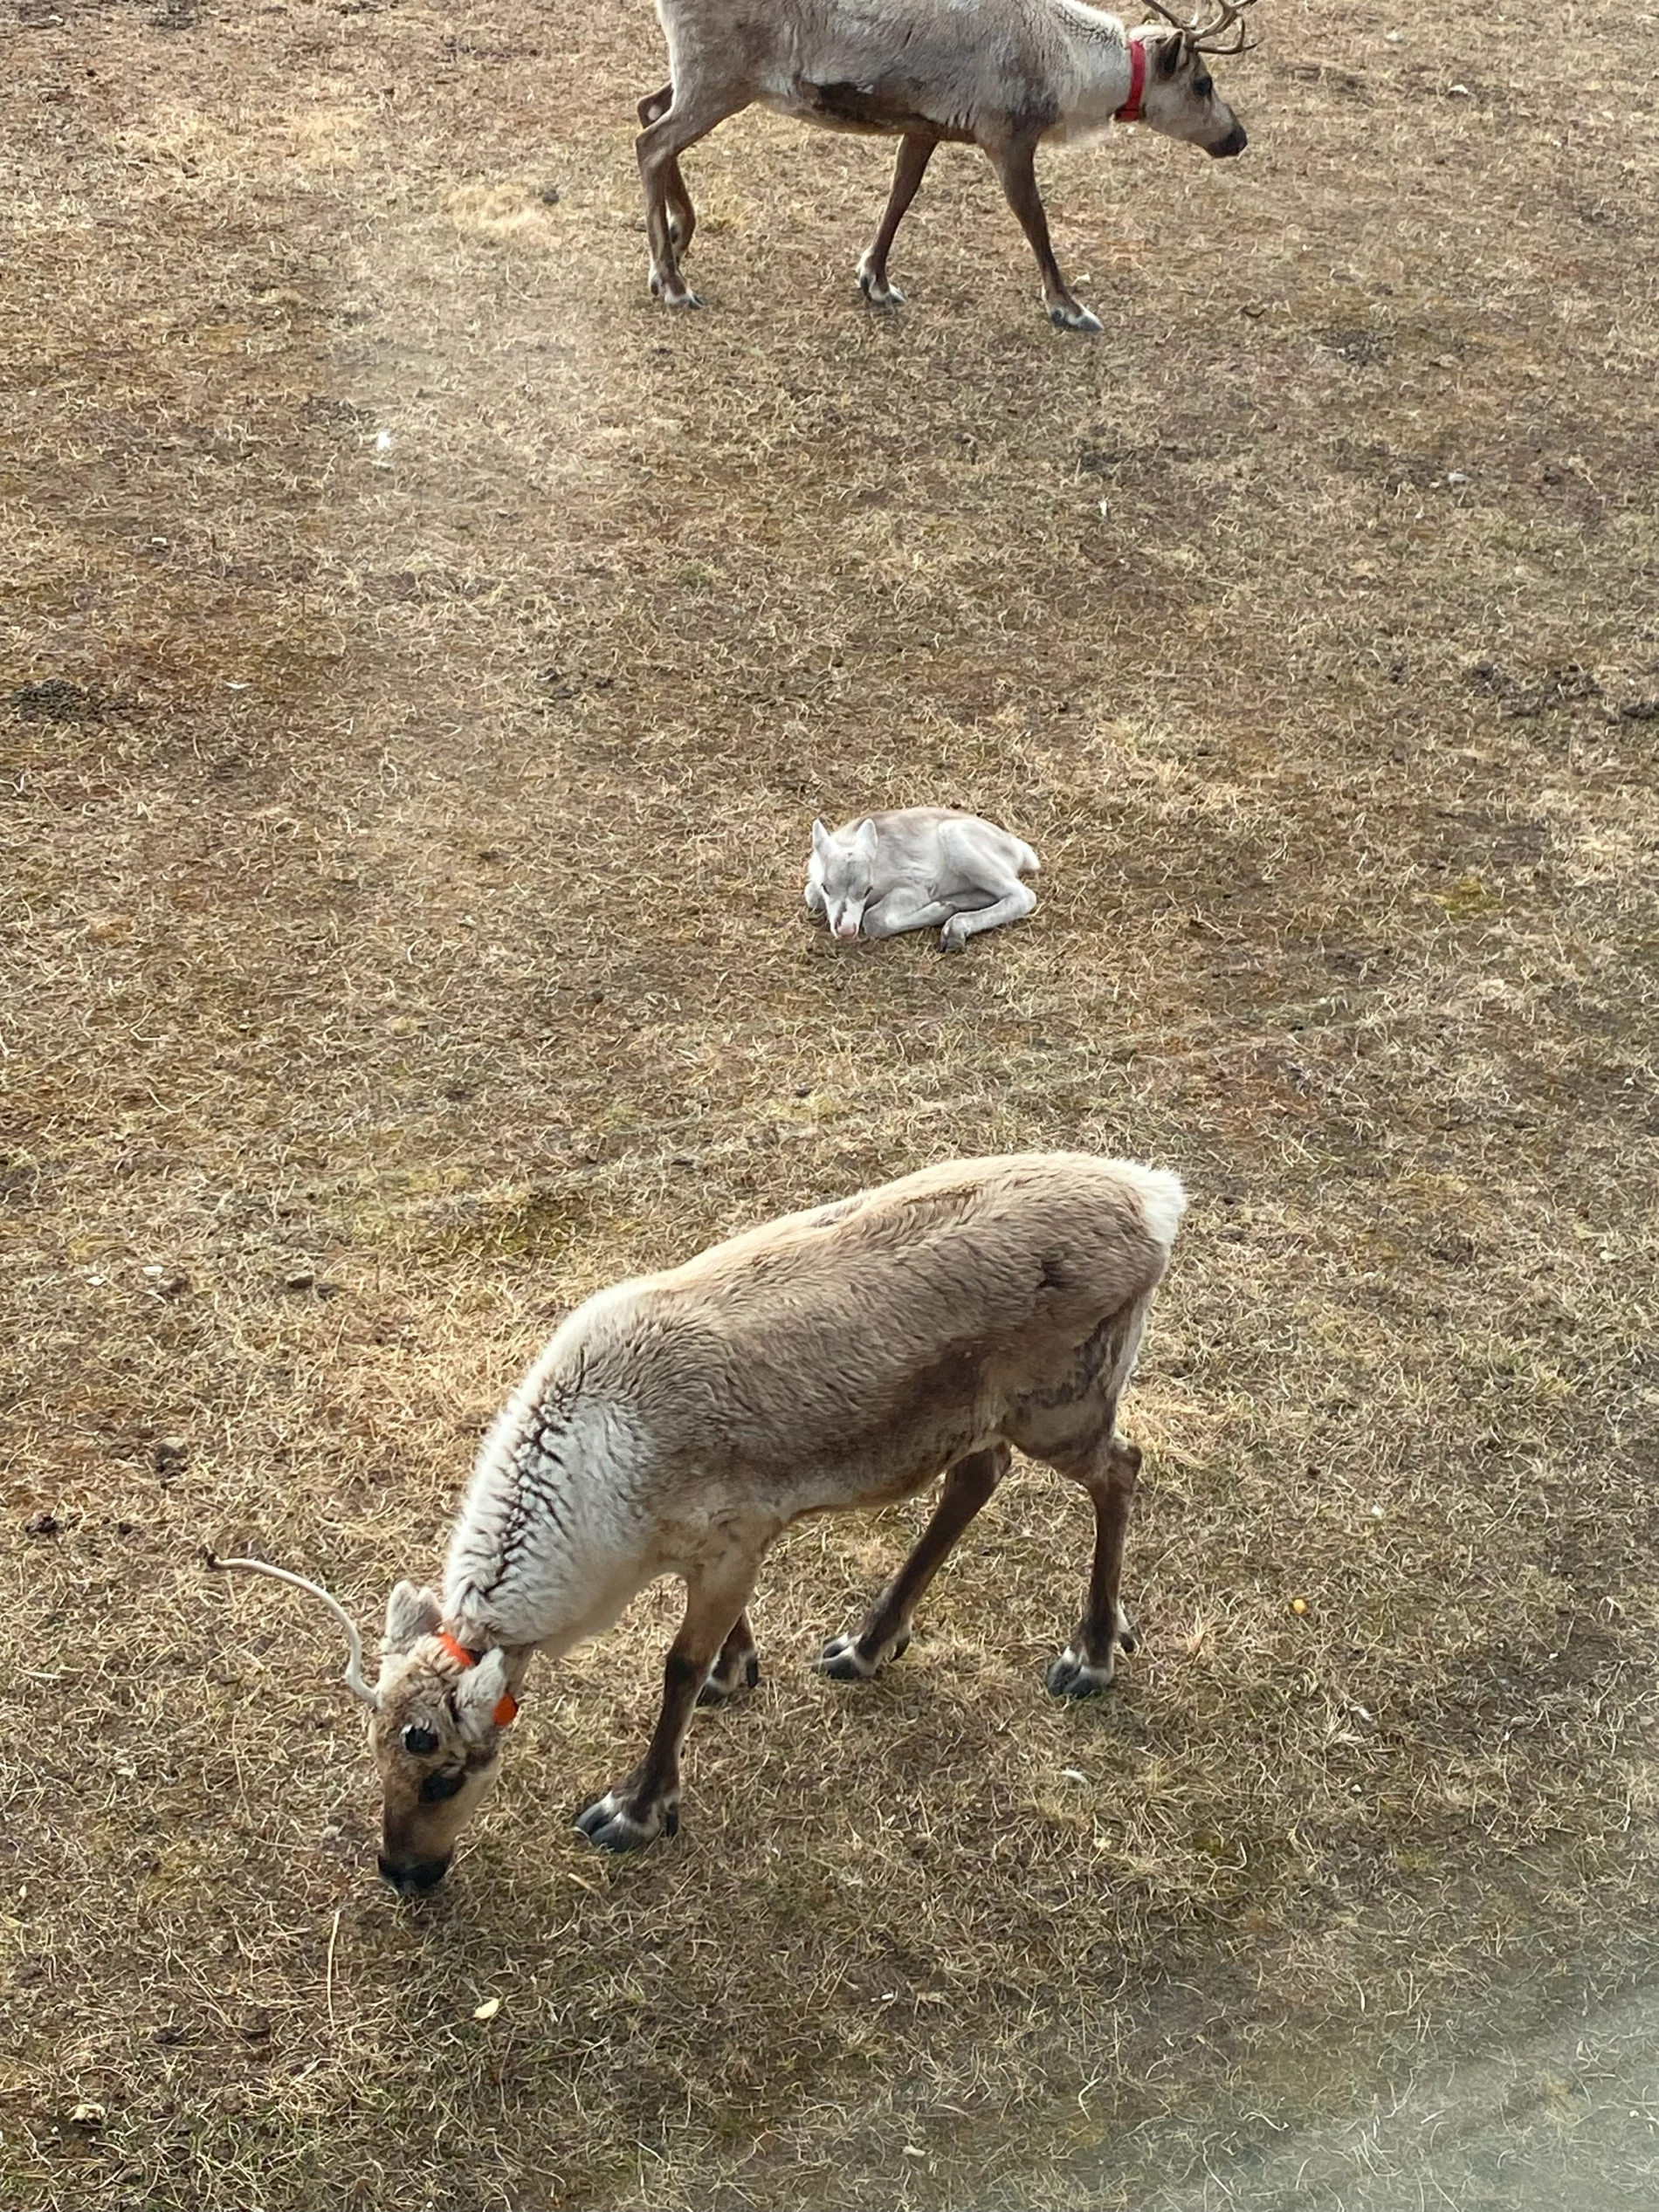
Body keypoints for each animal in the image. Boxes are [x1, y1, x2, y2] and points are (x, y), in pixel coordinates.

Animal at [210, 1151, 1185, 1893]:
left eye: (447, 1772)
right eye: (377, 1756)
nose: (403, 1872)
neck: (602, 1515)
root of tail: (1157, 1197)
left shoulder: (738, 1534)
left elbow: (673, 1667)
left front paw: (637, 1806)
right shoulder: (704, 1548)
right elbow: (710, 1645)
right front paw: (737, 1666)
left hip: (1063, 1400)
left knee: (1121, 1466)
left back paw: (1091, 1652)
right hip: (979, 1416)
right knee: (978, 1476)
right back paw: (867, 1643)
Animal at [634, 0, 1257, 329]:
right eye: (1203, 83)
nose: (1238, 138)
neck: (1069, 68)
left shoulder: (924, 126)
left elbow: (900, 196)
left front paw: (875, 279)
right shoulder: (1007, 136)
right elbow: (1035, 222)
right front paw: (1069, 307)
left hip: (705, 78)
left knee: (648, 108)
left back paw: (677, 239)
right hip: (720, 78)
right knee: (652, 142)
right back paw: (673, 280)